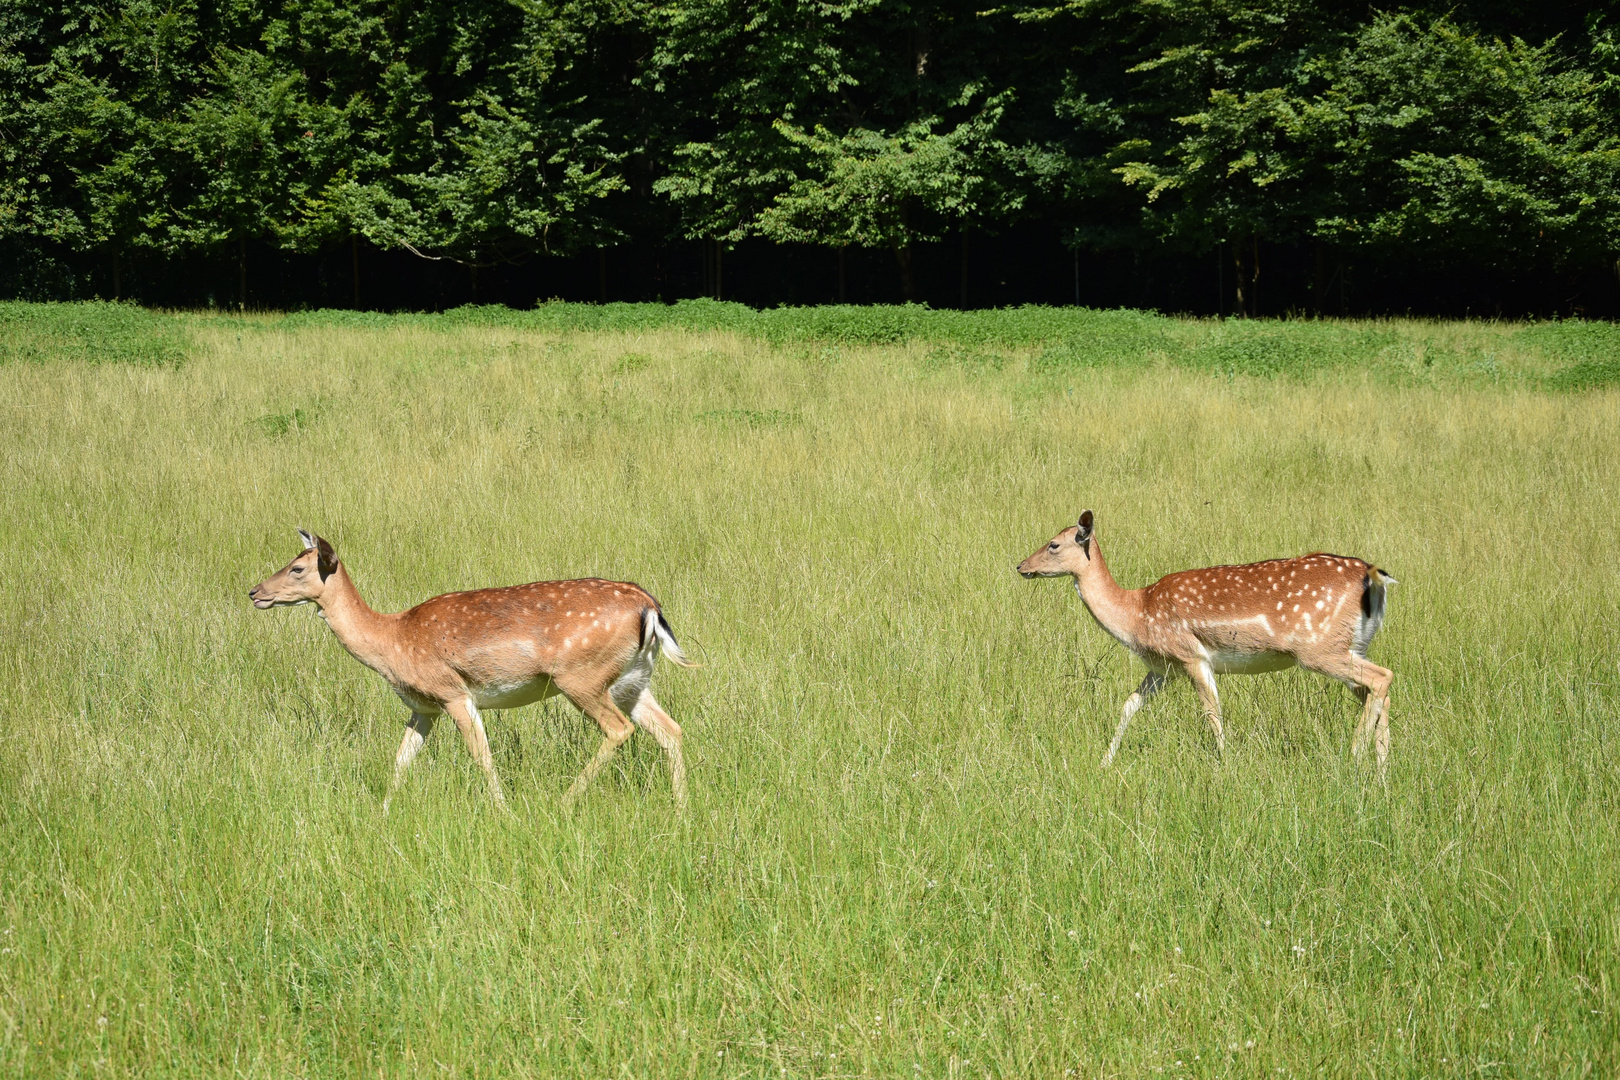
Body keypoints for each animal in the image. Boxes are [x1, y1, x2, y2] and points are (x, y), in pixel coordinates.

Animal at [247, 527, 696, 816]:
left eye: (297, 569)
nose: (254, 592)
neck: (391, 640)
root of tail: (649, 607)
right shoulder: (423, 707)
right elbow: (401, 759)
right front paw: (382, 813)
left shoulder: (452, 691)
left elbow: (482, 755)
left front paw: (503, 812)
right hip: (632, 680)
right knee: (670, 729)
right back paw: (680, 810)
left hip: (581, 676)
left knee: (620, 729)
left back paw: (564, 803)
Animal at [1017, 508, 1399, 773]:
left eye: (1053, 544)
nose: (1021, 566)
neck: (1137, 614)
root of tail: (1375, 578)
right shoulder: (1163, 667)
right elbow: (1129, 704)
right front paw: (1104, 762)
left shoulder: (1191, 654)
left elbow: (1212, 712)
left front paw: (1225, 765)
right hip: (1352, 645)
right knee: (1376, 691)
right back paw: (1381, 772)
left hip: (1318, 648)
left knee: (1383, 677)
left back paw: (1354, 757)